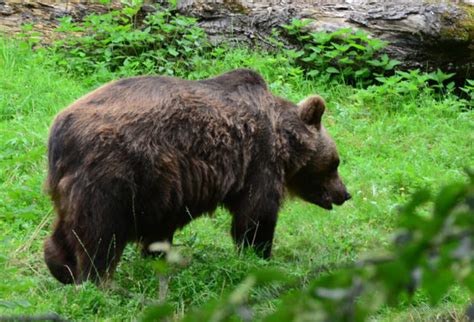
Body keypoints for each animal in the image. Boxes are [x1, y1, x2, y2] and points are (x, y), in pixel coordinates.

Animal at [43, 68, 348, 284]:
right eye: (335, 162)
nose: (345, 193)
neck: (285, 144)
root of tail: (60, 131)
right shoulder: (258, 162)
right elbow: (256, 216)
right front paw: (259, 255)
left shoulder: (165, 188)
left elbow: (160, 229)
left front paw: (157, 256)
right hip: (112, 176)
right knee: (100, 235)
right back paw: (95, 279)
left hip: (75, 185)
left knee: (68, 228)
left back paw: (61, 267)